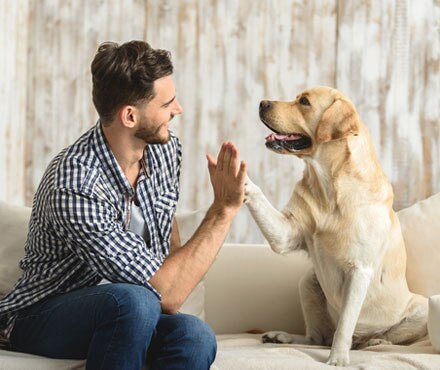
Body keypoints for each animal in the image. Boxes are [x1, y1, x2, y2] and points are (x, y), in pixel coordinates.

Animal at [244, 86, 426, 364]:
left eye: (304, 102)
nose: (263, 102)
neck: (328, 185)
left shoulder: (359, 270)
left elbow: (345, 325)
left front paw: (337, 359)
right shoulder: (286, 234)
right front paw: (236, 175)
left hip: (421, 308)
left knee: (377, 337)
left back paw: (373, 340)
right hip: (308, 282)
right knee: (316, 338)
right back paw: (282, 337)